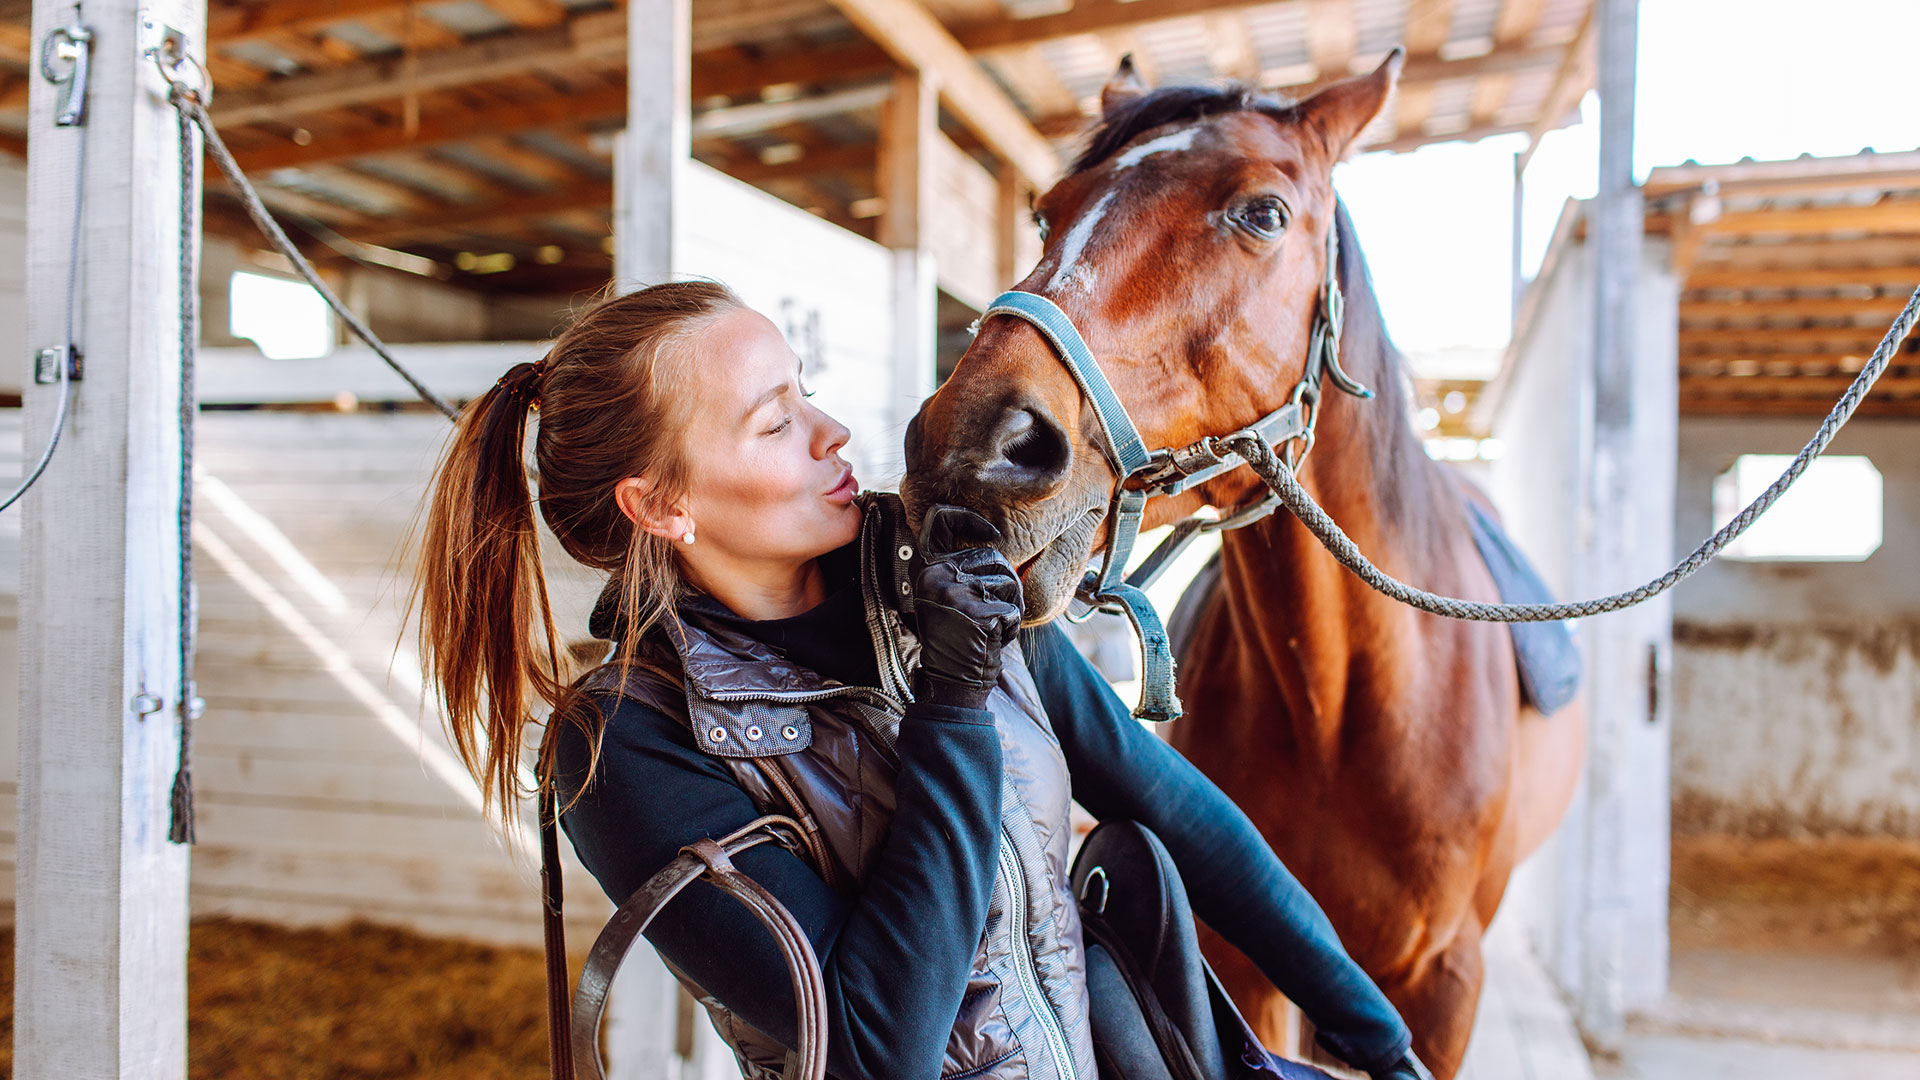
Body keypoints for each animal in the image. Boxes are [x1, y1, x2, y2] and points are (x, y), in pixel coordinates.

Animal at [899, 53, 1587, 1078]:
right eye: (1047, 214)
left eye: (1263, 213)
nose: (970, 445)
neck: (1338, 714)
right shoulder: (1250, 969)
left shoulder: (1447, 985)